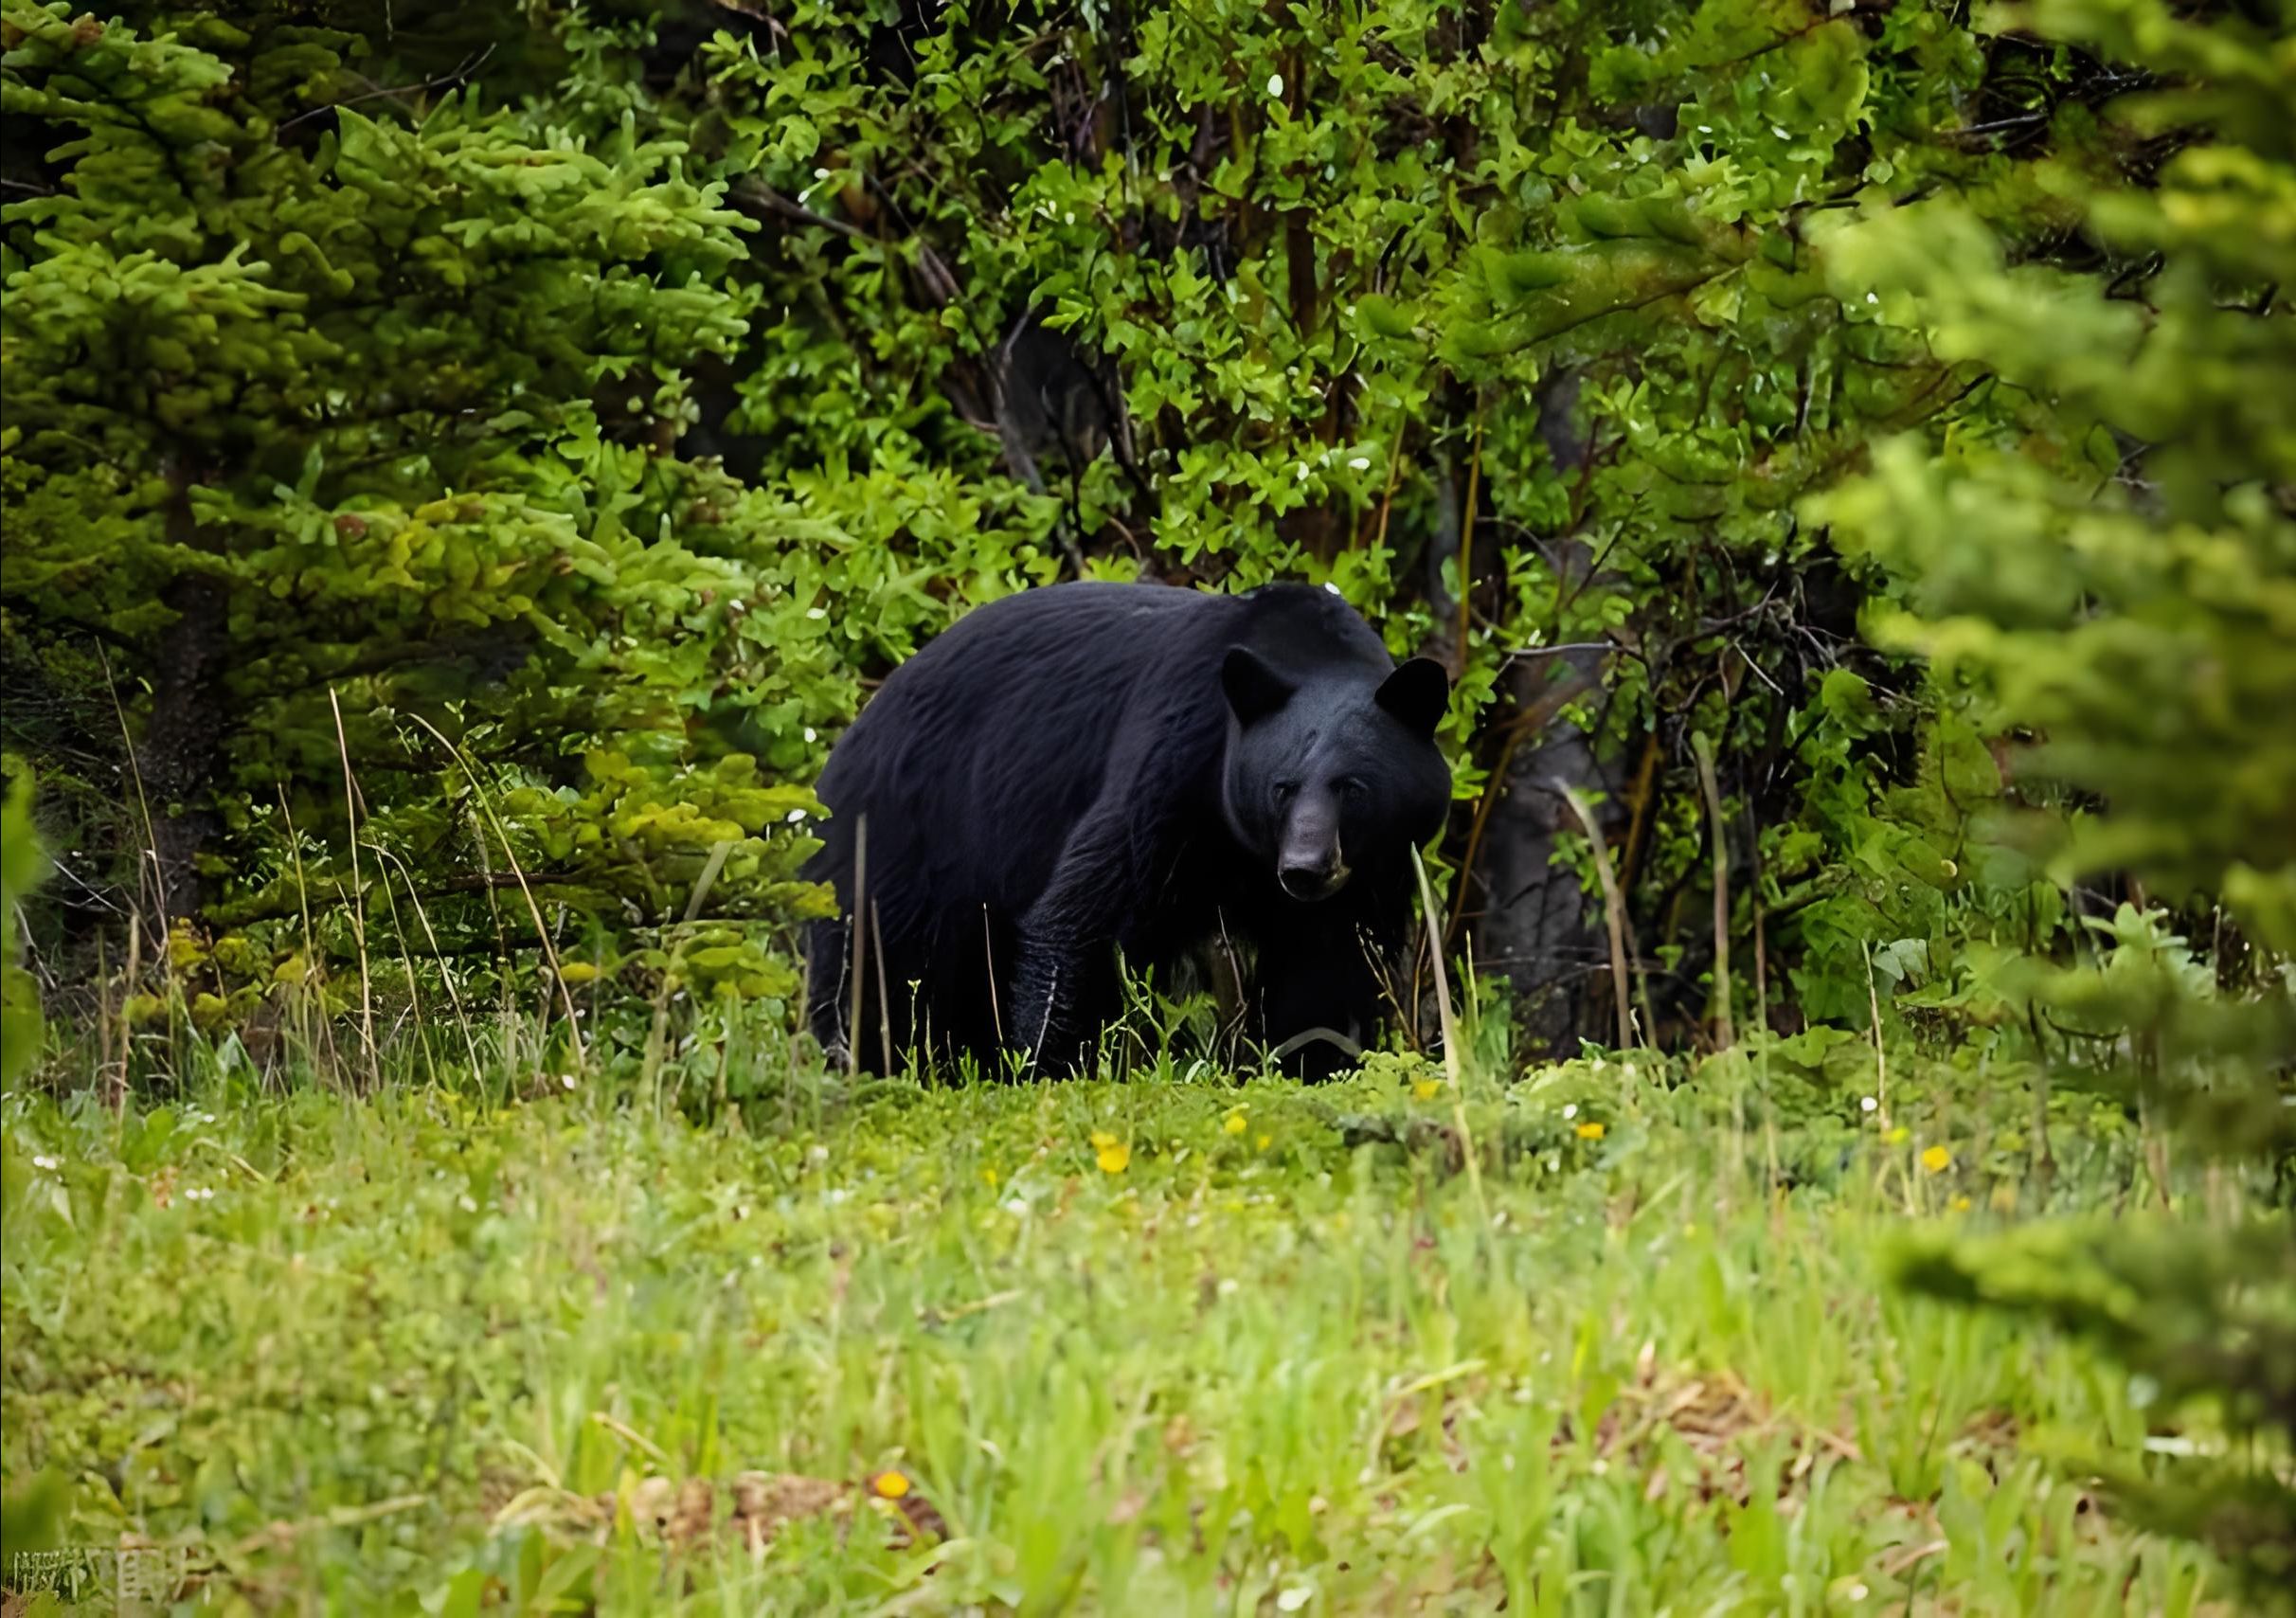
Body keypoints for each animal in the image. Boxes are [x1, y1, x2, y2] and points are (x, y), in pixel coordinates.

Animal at [808, 573, 1442, 1078]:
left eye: (1352, 788)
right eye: (1281, 787)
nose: (1305, 869)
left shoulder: (1369, 875)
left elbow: (1326, 968)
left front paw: (1310, 1059)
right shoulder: (1174, 761)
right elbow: (1085, 914)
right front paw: (1051, 1064)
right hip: (904, 842)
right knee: (880, 967)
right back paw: (866, 1061)